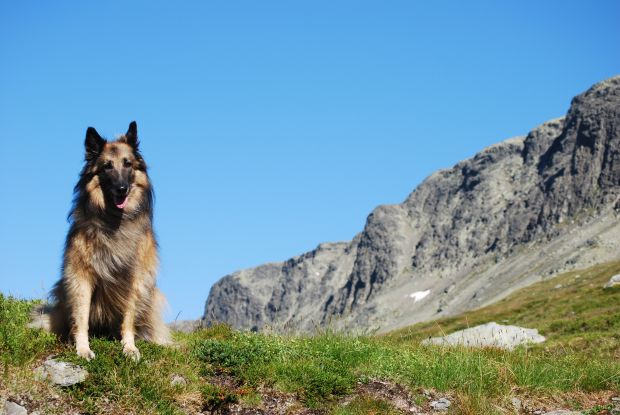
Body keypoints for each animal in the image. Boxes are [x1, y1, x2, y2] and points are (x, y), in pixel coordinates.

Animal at [31, 121, 170, 360]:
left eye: (127, 164)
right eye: (107, 166)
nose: (122, 189)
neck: (115, 220)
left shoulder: (135, 278)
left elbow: (128, 318)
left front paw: (129, 347)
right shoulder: (80, 275)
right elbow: (81, 316)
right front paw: (82, 348)